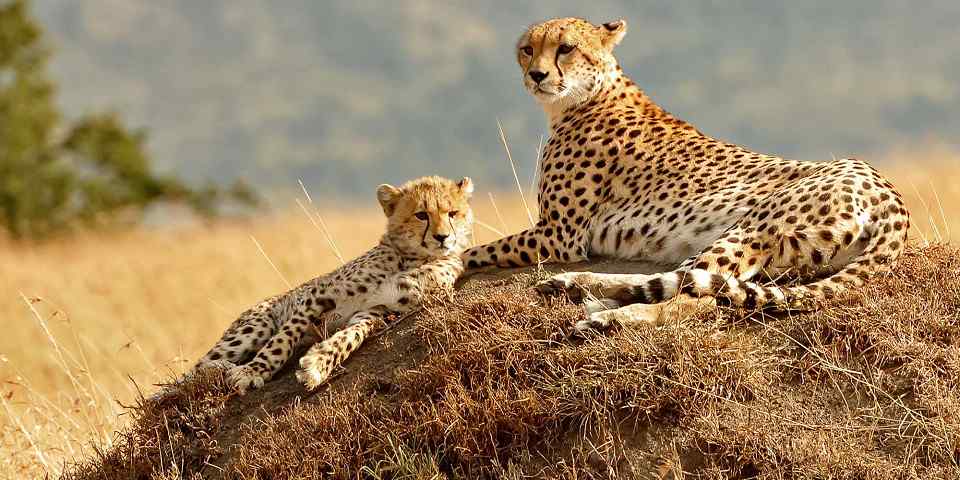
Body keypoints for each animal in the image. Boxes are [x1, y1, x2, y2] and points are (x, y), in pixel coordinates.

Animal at [192, 175, 474, 393]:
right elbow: (283, 338)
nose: (442, 237)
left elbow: (350, 336)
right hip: (256, 325)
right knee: (196, 370)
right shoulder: (319, 295)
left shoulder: (377, 311)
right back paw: (222, 367)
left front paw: (319, 363)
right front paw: (254, 371)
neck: (412, 258)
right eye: (421, 215)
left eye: (452, 213)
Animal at [462, 17, 910, 330]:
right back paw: (578, 288)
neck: (587, 95)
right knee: (684, 280)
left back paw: (607, 313)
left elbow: (473, 250)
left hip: (752, 227)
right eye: (527, 49)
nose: (536, 75)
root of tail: (889, 192)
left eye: (565, 48)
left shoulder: (558, 235)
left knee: (697, 294)